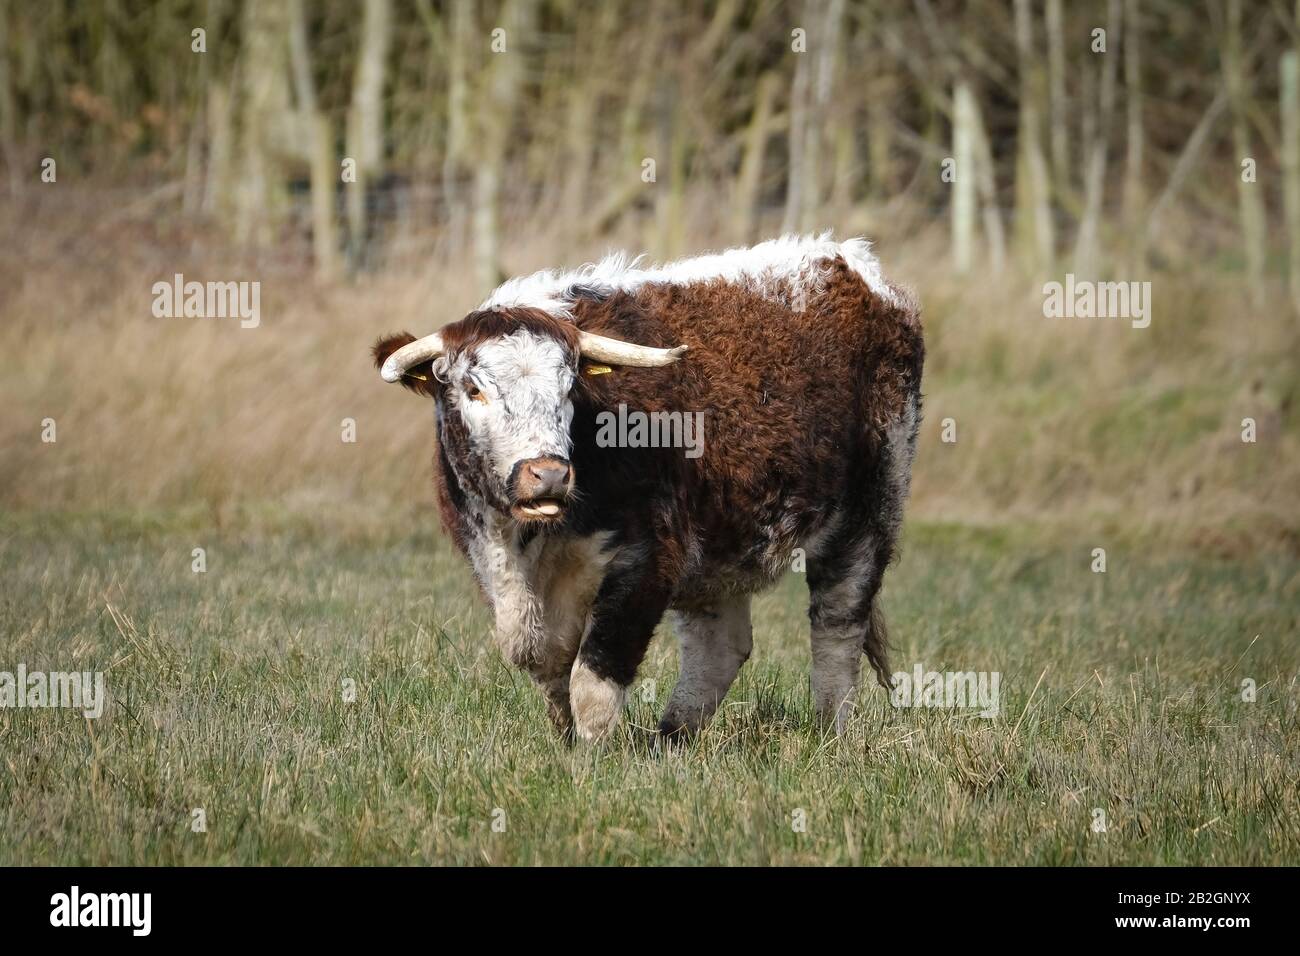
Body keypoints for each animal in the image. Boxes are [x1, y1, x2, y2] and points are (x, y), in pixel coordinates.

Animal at [377, 235, 925, 743]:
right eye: (473, 389)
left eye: (569, 387)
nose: (548, 473)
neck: (526, 542)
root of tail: (850, 264)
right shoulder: (493, 563)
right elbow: (544, 661)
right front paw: (566, 742)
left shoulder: (648, 559)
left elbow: (593, 679)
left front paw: (592, 759)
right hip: (720, 546)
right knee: (719, 644)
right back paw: (673, 739)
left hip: (869, 512)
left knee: (838, 623)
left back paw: (829, 732)